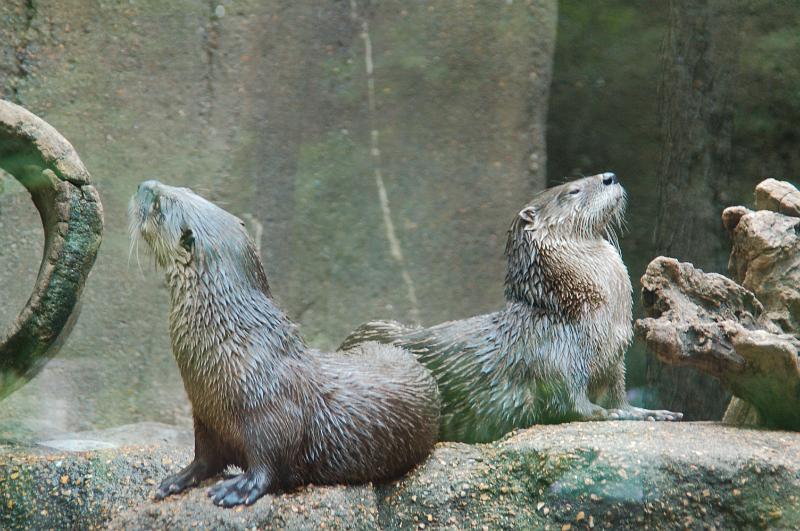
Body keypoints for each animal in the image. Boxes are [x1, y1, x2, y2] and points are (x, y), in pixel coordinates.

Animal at [129, 181, 439, 507]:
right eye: (184, 188)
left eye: (160, 205)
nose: (144, 184)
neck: (232, 343)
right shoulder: (205, 416)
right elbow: (204, 457)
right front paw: (178, 478)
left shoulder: (272, 413)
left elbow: (271, 461)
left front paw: (239, 488)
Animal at [341, 172, 682, 443]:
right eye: (573, 190)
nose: (609, 176)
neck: (573, 312)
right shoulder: (555, 358)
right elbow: (572, 405)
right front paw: (611, 416)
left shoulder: (614, 362)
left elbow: (618, 395)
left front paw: (649, 412)